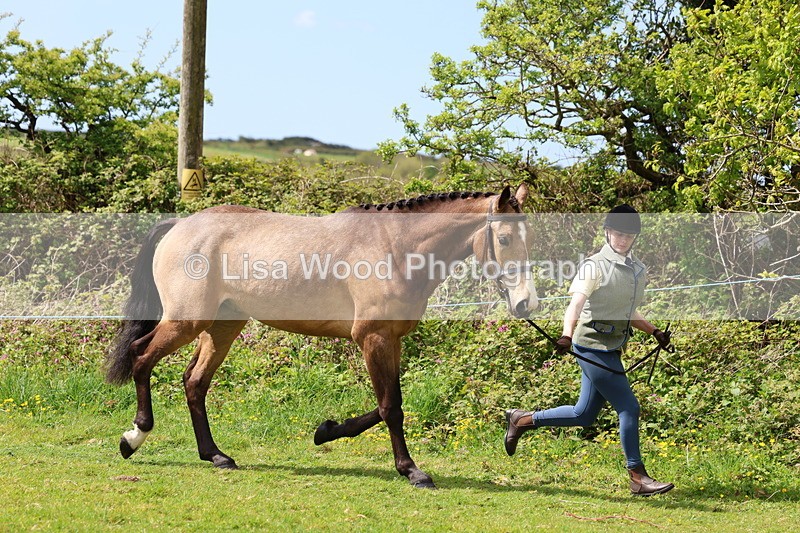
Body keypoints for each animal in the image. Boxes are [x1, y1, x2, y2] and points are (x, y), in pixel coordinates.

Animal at [105, 184, 538, 488]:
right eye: (504, 239)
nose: (526, 303)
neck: (395, 247)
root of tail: (181, 225)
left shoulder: (391, 340)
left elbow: (384, 405)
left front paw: (326, 431)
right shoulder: (374, 338)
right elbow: (391, 407)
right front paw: (412, 470)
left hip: (223, 326)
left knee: (194, 382)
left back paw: (216, 455)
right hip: (187, 321)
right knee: (142, 357)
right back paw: (133, 437)